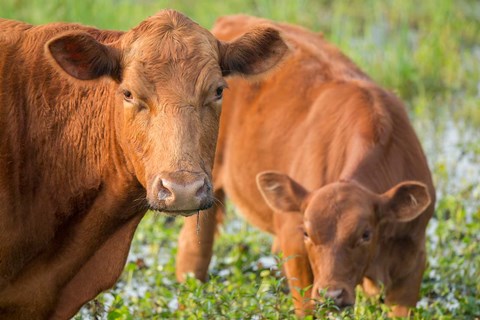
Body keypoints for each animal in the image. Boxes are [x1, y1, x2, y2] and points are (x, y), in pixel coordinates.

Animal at [177, 15, 436, 318]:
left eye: (365, 234)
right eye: (307, 233)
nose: (332, 295)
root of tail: (229, 21)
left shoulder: (413, 258)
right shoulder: (294, 241)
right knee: (194, 250)